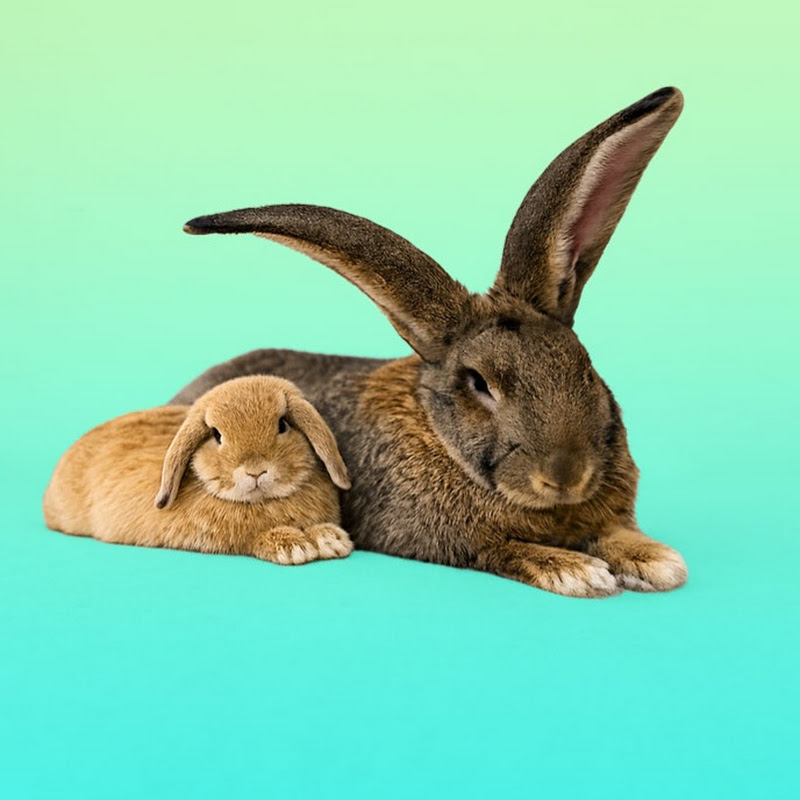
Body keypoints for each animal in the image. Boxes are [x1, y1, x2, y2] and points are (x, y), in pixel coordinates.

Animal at [43, 376, 354, 565]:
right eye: (216, 435)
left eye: (283, 425)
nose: (255, 472)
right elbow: (253, 539)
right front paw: (293, 547)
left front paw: (330, 539)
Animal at [171, 87, 688, 597]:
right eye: (479, 383)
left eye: (584, 365)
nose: (566, 476)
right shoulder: (458, 543)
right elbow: (509, 550)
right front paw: (578, 571)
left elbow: (615, 535)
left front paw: (656, 561)